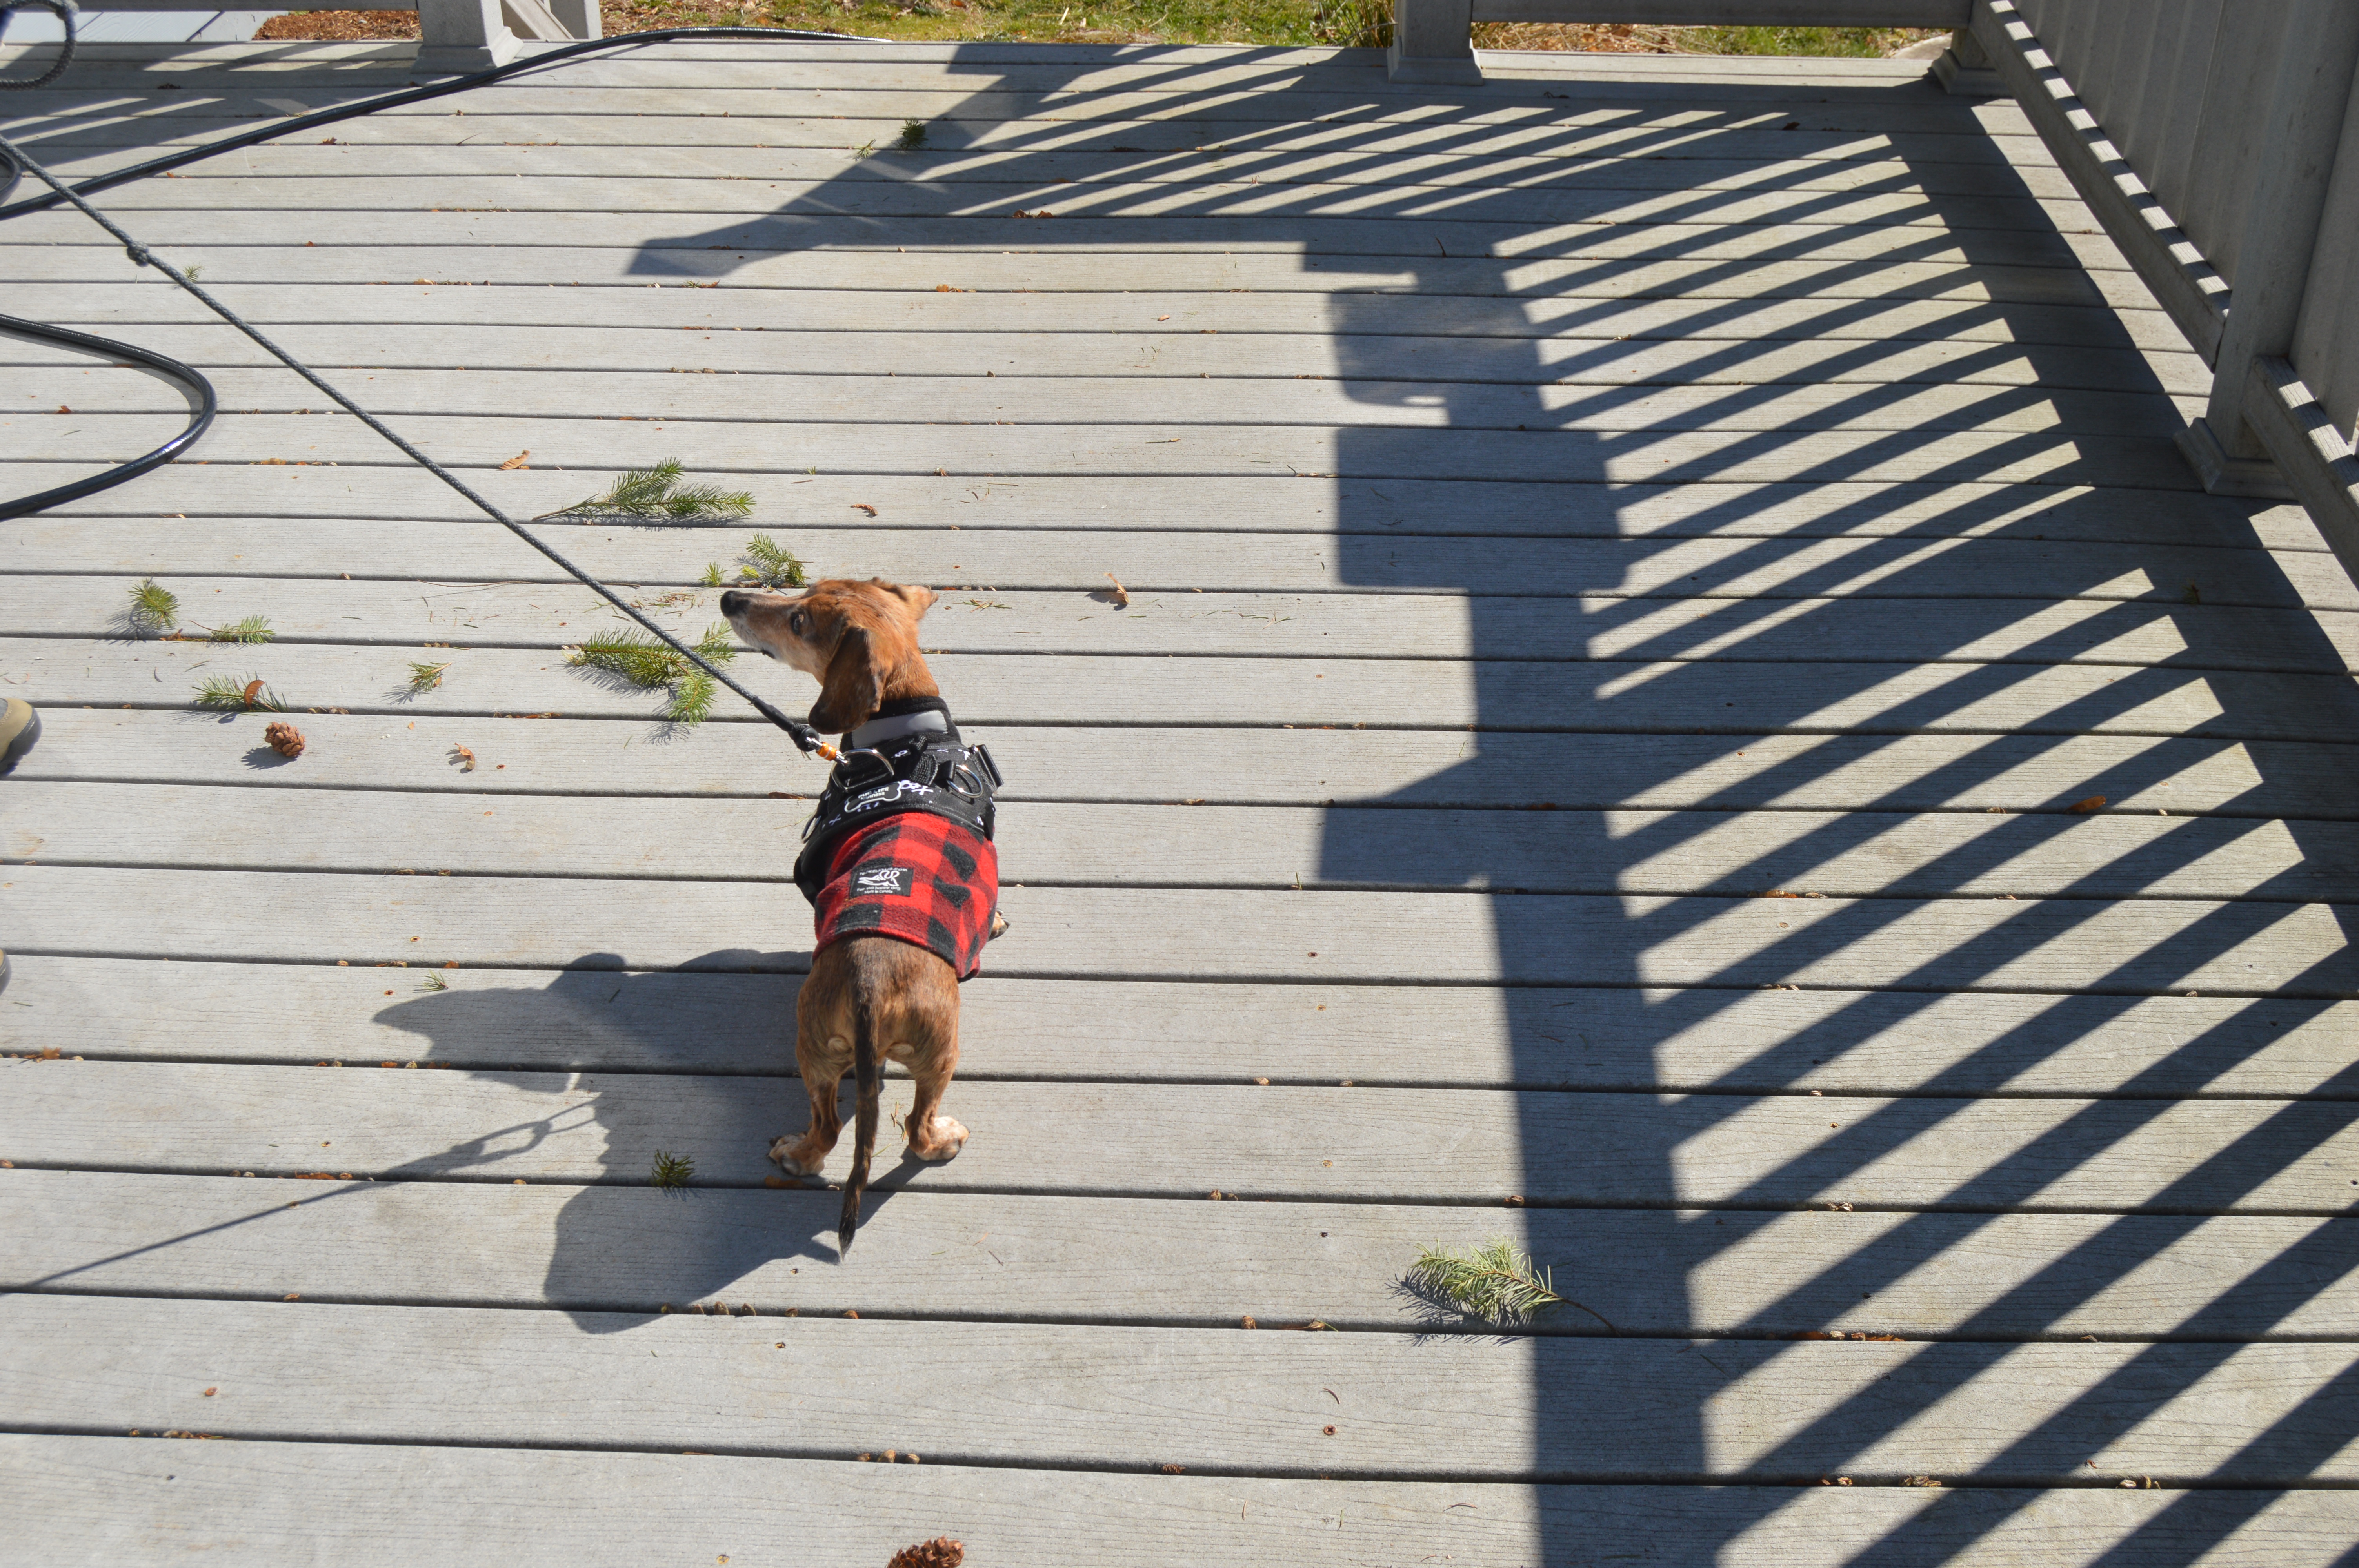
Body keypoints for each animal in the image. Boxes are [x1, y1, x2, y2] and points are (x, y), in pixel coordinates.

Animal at [717, 575, 995, 1245]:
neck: (905, 741)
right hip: (938, 1056)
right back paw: (941, 1140)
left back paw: (795, 1155)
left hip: (819, 1053)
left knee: (832, 1129)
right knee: (911, 1132)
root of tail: (871, 989)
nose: (731, 598)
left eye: (799, 618)